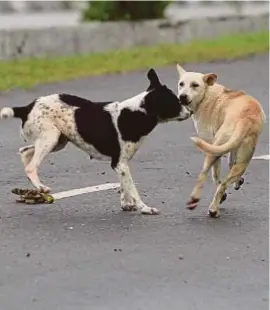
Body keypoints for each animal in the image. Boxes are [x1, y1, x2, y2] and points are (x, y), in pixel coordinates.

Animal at [0, 68, 191, 214]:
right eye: (175, 102)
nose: (190, 112)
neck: (136, 112)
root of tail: (26, 108)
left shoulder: (121, 165)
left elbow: (125, 186)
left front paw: (127, 204)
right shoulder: (119, 163)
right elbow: (133, 189)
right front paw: (144, 208)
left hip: (58, 141)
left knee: (25, 153)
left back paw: (37, 187)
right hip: (50, 137)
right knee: (31, 166)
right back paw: (41, 187)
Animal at [175, 64, 266, 217]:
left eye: (195, 85)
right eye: (181, 84)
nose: (182, 97)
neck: (207, 93)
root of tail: (247, 118)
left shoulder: (212, 144)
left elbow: (215, 174)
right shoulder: (232, 147)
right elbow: (229, 164)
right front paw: (238, 182)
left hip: (214, 150)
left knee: (205, 176)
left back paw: (199, 202)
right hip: (243, 158)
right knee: (225, 182)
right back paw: (214, 207)